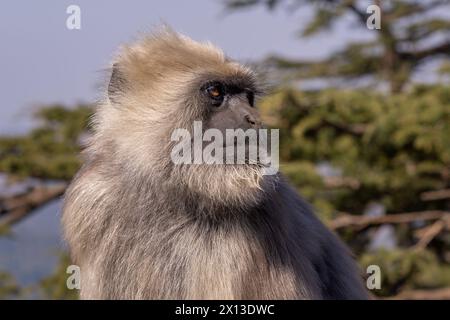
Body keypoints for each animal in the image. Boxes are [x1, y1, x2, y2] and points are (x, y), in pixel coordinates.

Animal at [61, 28, 368, 300]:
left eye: (248, 97)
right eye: (216, 92)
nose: (254, 119)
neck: (180, 197)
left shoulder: (267, 211)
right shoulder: (94, 202)